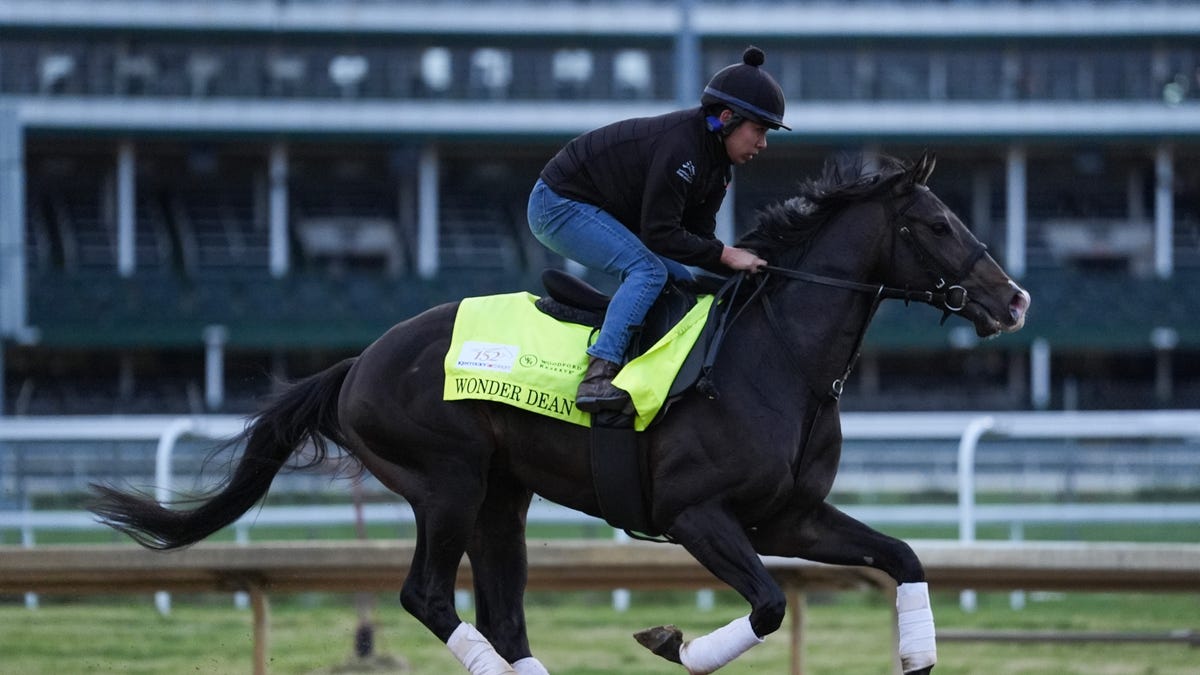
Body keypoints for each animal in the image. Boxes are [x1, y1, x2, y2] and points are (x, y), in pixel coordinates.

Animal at [91, 151, 1030, 675]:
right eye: (937, 224)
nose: (1013, 298)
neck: (778, 358)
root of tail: (361, 361)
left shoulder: (788, 514)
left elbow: (902, 556)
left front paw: (918, 655)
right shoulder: (696, 513)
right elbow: (766, 604)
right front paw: (673, 643)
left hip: (503, 498)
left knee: (503, 615)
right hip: (447, 482)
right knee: (428, 596)